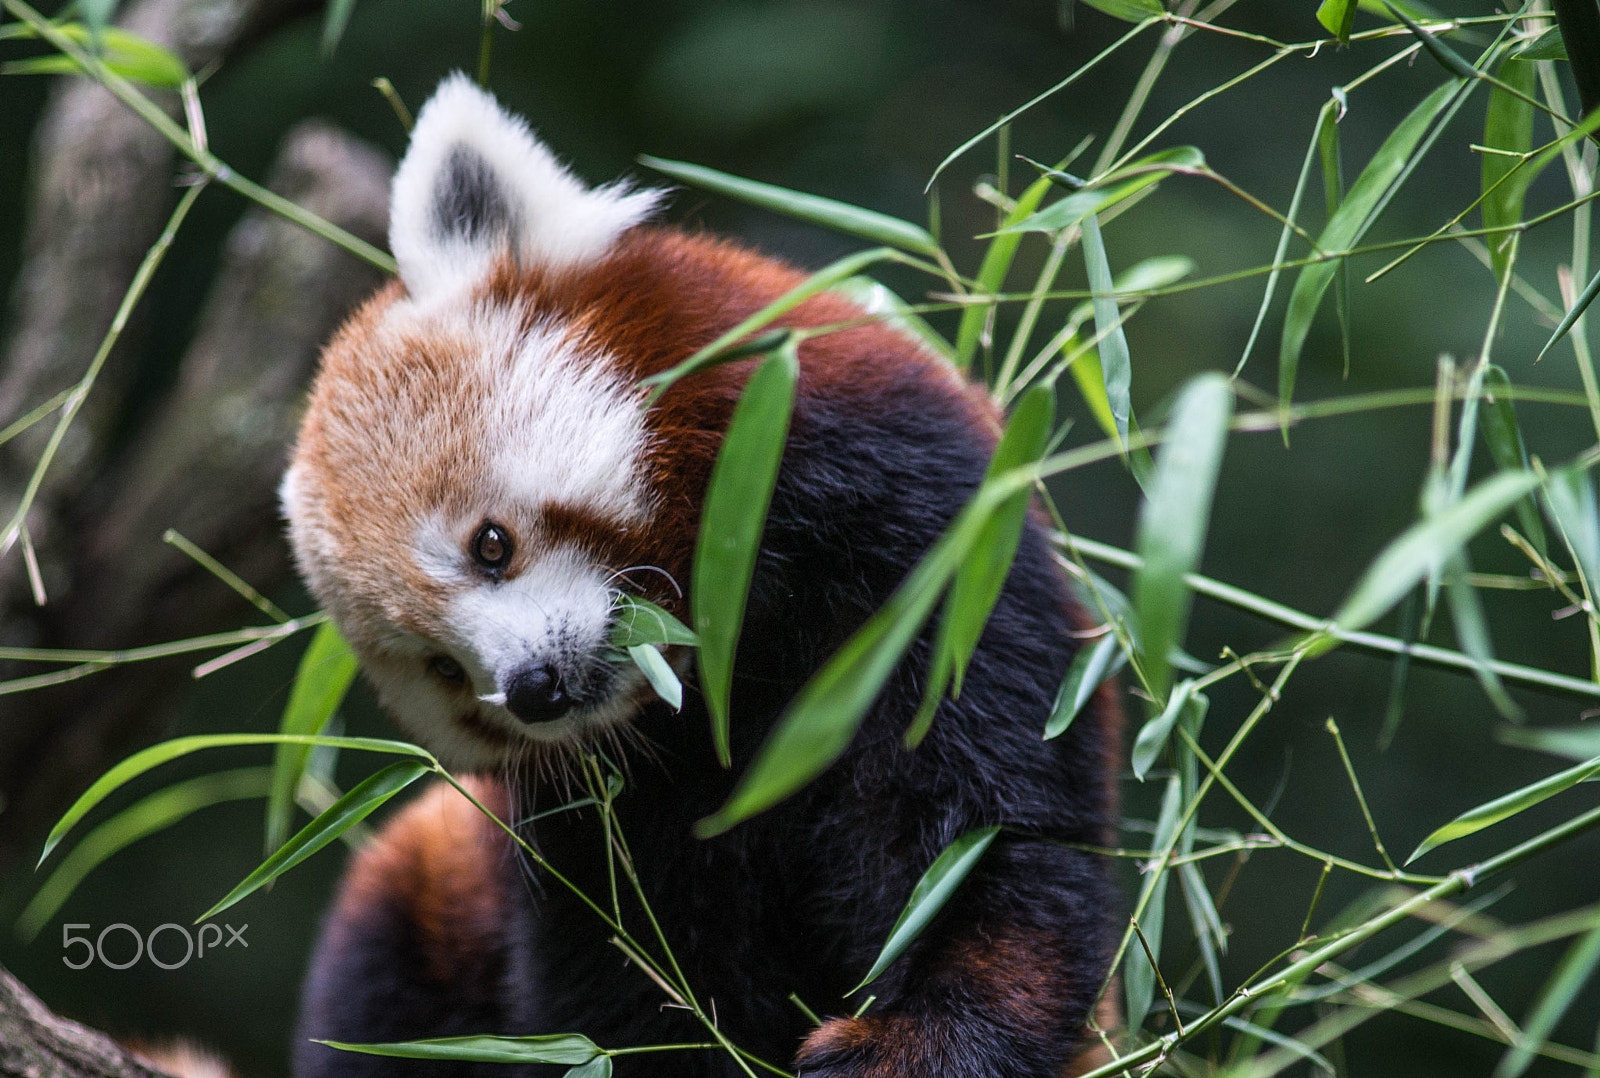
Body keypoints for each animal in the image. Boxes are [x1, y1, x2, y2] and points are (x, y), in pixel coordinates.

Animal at [281, 75, 1120, 1074]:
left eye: (491, 545)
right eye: (444, 669)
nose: (534, 689)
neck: (722, 656)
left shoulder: (925, 549)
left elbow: (983, 835)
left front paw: (911, 1042)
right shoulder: (593, 816)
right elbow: (627, 976)